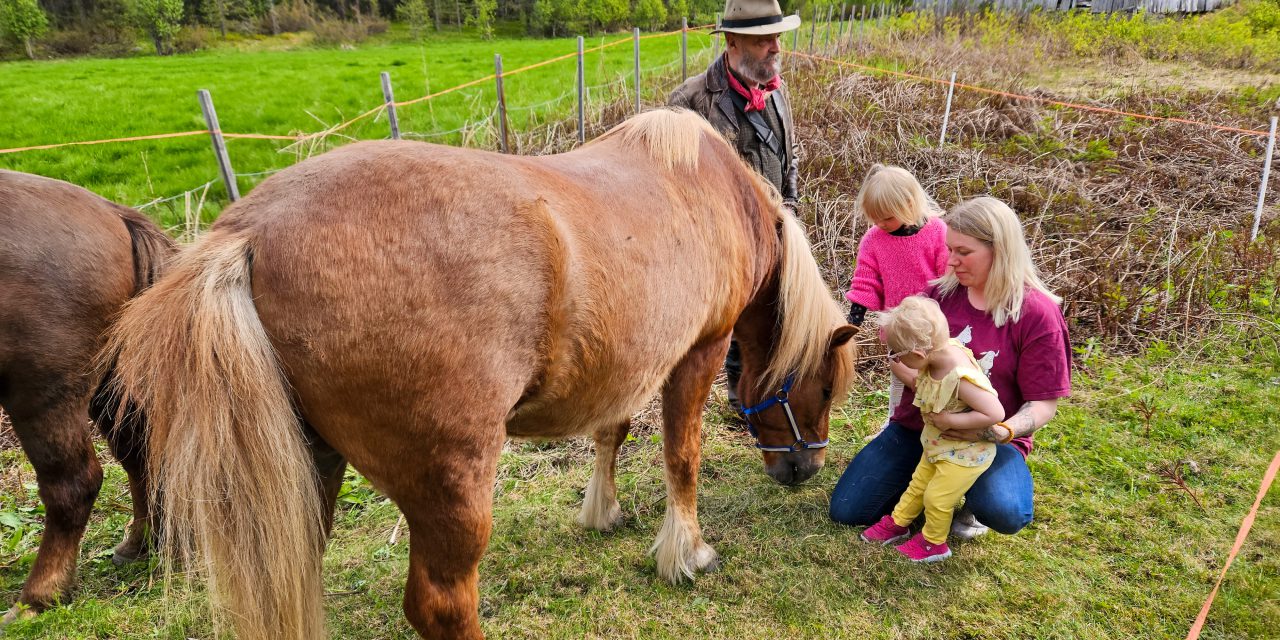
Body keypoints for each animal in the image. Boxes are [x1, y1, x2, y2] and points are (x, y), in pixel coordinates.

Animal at [0, 170, 174, 624]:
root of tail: (112, 213)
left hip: (42, 393)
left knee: (73, 484)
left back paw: (37, 598)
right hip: (109, 384)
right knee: (137, 452)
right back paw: (141, 543)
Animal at [102, 110, 860, 640]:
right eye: (824, 386)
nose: (806, 470)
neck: (708, 187)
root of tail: (250, 234)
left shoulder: (626, 364)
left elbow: (610, 436)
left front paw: (604, 511)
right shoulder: (694, 355)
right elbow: (683, 457)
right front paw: (687, 551)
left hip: (307, 474)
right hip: (453, 489)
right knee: (441, 606)